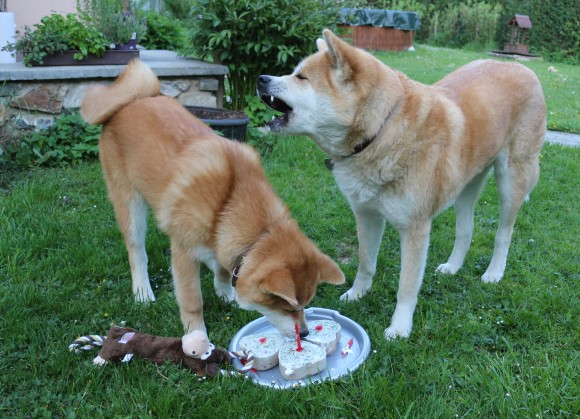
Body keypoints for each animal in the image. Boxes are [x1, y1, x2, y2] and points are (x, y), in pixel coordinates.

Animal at [81, 60, 344, 338]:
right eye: (286, 307)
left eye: (305, 304)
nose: (304, 333)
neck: (229, 200)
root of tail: (132, 101)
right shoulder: (184, 252)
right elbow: (192, 301)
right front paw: (196, 334)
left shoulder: (222, 240)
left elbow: (223, 270)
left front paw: (226, 293)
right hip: (130, 206)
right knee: (137, 252)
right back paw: (142, 292)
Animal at [256, 31, 548, 342]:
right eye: (294, 72)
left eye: (301, 77)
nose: (261, 78)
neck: (381, 131)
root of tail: (522, 68)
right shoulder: (367, 216)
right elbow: (365, 262)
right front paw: (357, 293)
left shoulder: (414, 230)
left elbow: (406, 287)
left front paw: (399, 327)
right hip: (466, 186)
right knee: (466, 229)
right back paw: (453, 266)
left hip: (511, 181)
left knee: (504, 233)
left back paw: (494, 272)